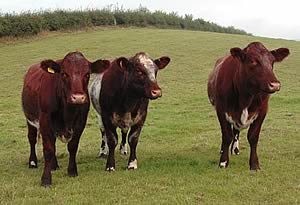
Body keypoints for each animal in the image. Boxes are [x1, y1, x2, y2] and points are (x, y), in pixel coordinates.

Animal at [21, 51, 110, 186]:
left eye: (87, 74)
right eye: (64, 73)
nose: (78, 98)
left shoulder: (80, 122)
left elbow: (72, 146)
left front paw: (72, 171)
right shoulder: (45, 120)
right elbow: (48, 149)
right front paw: (46, 179)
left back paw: (54, 165)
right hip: (30, 119)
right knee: (32, 138)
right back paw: (33, 162)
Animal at [207, 41, 290, 170]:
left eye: (272, 61)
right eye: (252, 61)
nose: (275, 85)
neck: (245, 96)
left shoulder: (262, 111)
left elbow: (253, 137)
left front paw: (254, 164)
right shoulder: (221, 110)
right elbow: (226, 135)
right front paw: (223, 161)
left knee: (236, 131)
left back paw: (235, 149)